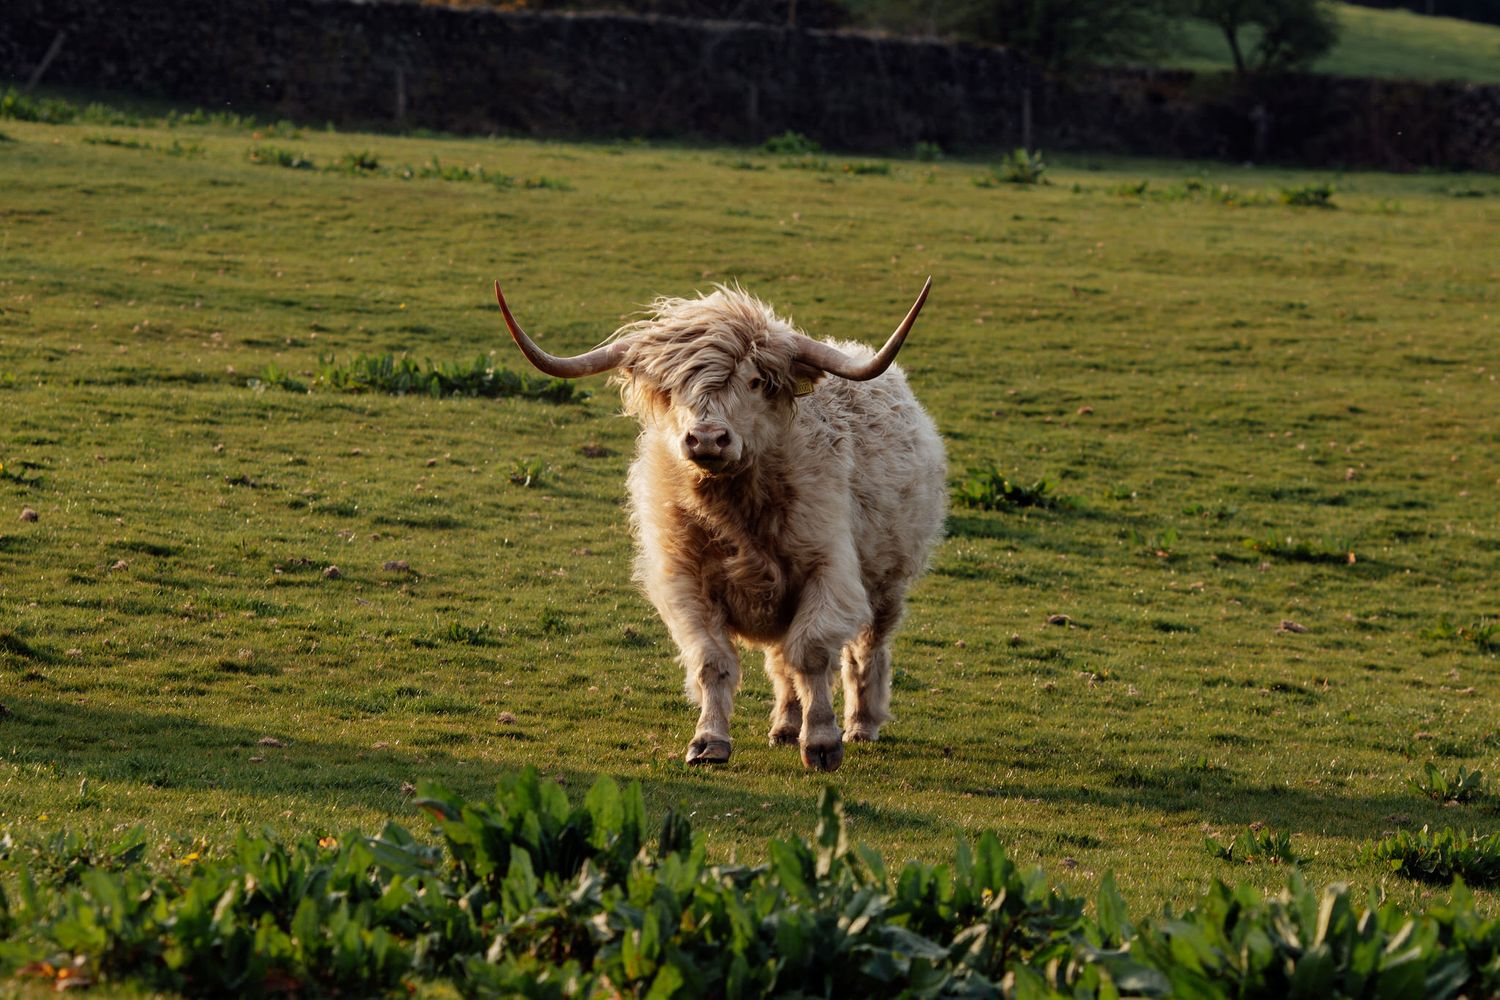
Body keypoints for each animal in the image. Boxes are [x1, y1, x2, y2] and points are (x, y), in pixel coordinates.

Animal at [495, 279, 946, 771]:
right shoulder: (687, 584)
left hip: (887, 581)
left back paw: (861, 724)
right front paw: (709, 741)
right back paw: (785, 726)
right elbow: (714, 661)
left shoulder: (829, 572)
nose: (707, 438)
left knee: (866, 651)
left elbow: (812, 654)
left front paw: (823, 742)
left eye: (754, 381)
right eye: (672, 386)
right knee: (781, 659)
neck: (736, 516)